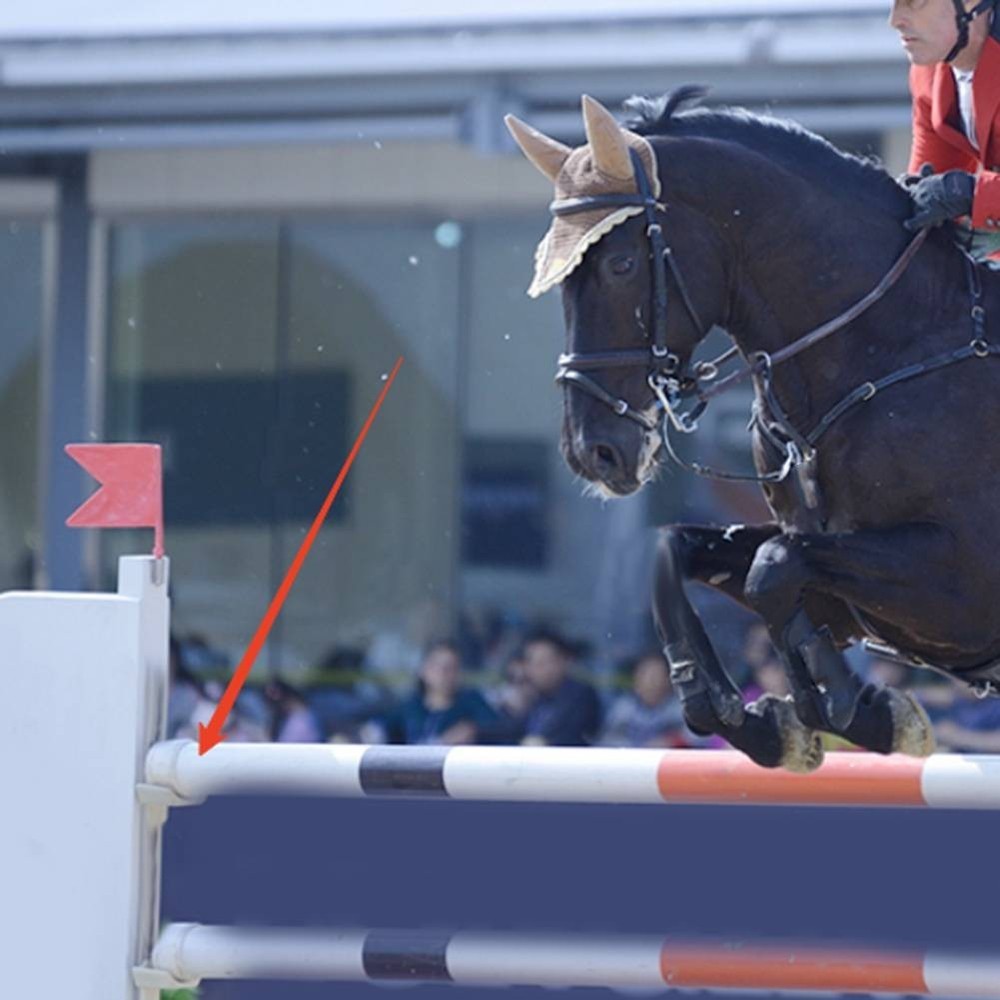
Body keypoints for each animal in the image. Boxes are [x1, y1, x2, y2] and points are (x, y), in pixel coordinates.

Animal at [506, 89, 1000, 772]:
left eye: (622, 264)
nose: (592, 452)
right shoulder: (842, 579)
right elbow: (687, 555)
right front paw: (767, 722)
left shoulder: (963, 588)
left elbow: (773, 568)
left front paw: (854, 708)